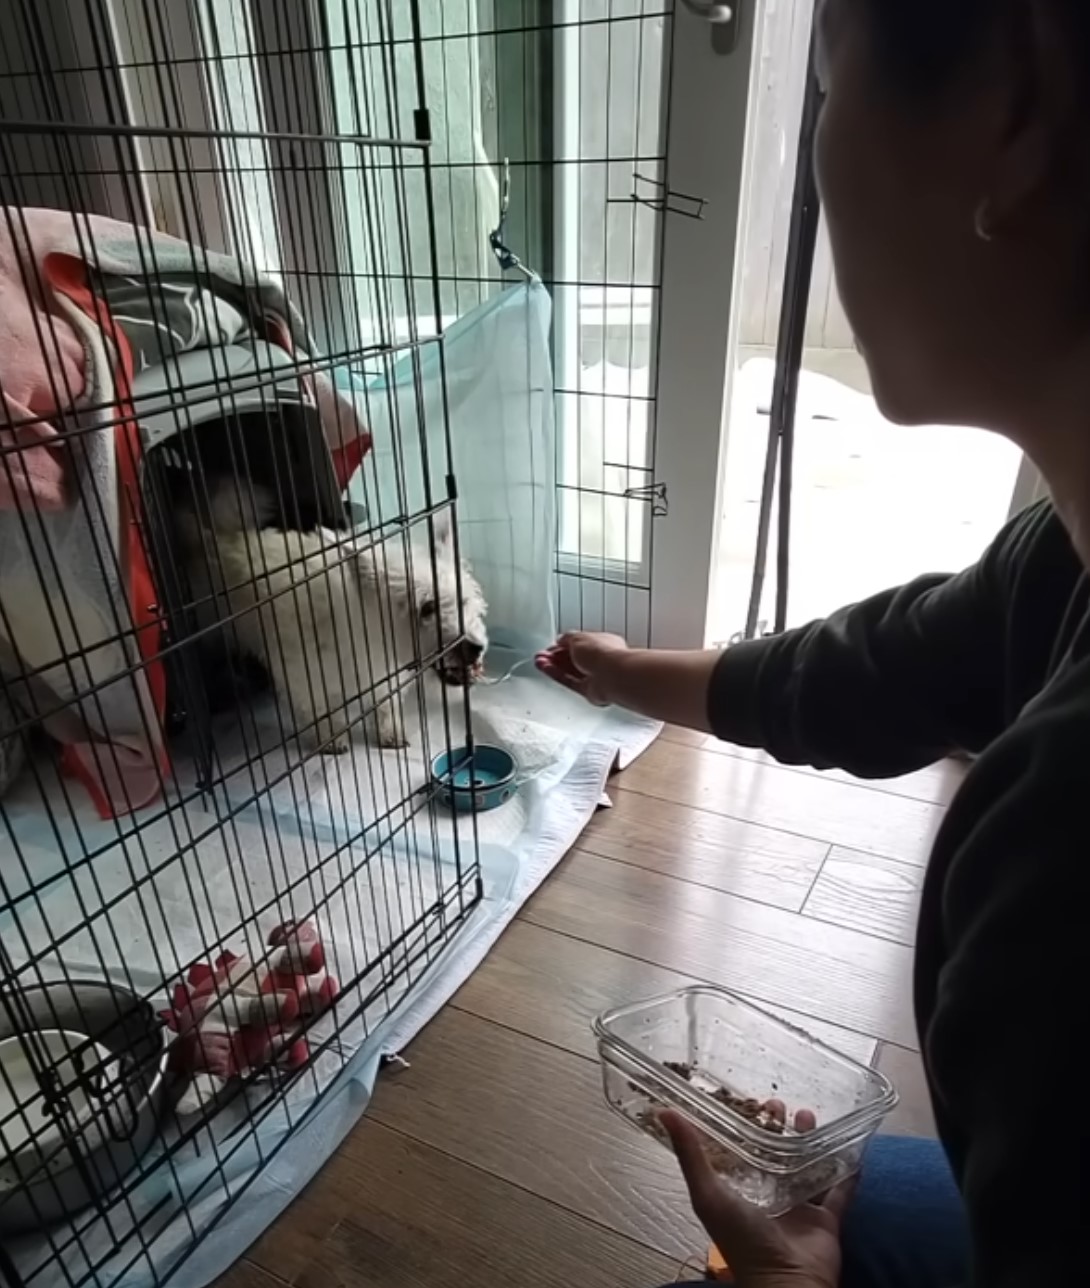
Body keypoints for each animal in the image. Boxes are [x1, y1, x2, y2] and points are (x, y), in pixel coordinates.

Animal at [180, 481, 489, 747]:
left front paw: (389, 731)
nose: (477, 647)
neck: (356, 622)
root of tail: (215, 535)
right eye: (427, 608)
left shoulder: (382, 670)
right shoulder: (298, 669)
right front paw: (332, 737)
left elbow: (385, 702)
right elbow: (316, 706)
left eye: (464, 601)